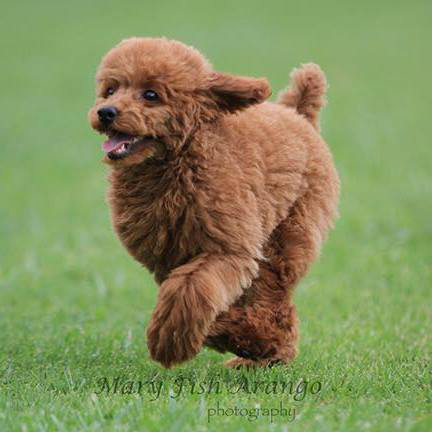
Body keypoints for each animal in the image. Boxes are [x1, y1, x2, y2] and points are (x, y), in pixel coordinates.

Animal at [88, 37, 340, 368]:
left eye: (151, 94)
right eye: (110, 90)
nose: (106, 112)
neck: (180, 159)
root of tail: (298, 113)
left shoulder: (227, 248)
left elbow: (189, 291)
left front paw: (169, 342)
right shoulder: (167, 255)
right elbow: (187, 292)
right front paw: (203, 332)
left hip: (289, 233)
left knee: (273, 294)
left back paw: (259, 347)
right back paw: (255, 350)